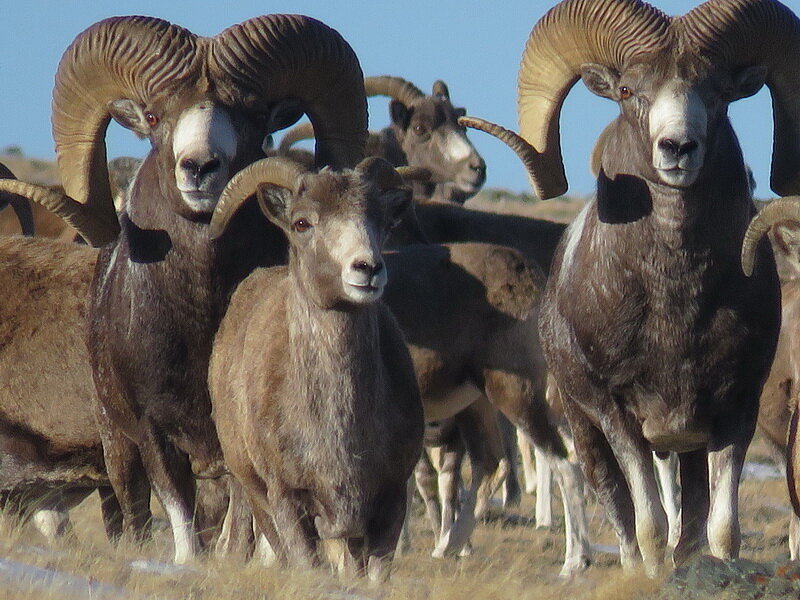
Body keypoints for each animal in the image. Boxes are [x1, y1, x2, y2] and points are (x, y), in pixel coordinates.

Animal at [0, 15, 368, 568]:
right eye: (154, 115)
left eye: (255, 117)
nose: (199, 167)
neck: (200, 326)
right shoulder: (154, 436)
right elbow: (180, 518)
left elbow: (247, 526)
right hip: (117, 449)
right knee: (131, 515)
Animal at [209, 156, 428, 580]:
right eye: (301, 223)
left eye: (380, 221)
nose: (367, 268)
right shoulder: (288, 502)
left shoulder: (389, 505)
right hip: (256, 498)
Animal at [462, 0, 800, 576]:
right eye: (627, 90)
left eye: (719, 91)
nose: (678, 147)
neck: (674, 306)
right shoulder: (618, 415)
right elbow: (649, 528)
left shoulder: (736, 410)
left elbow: (720, 529)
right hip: (584, 430)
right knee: (617, 511)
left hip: (685, 445)